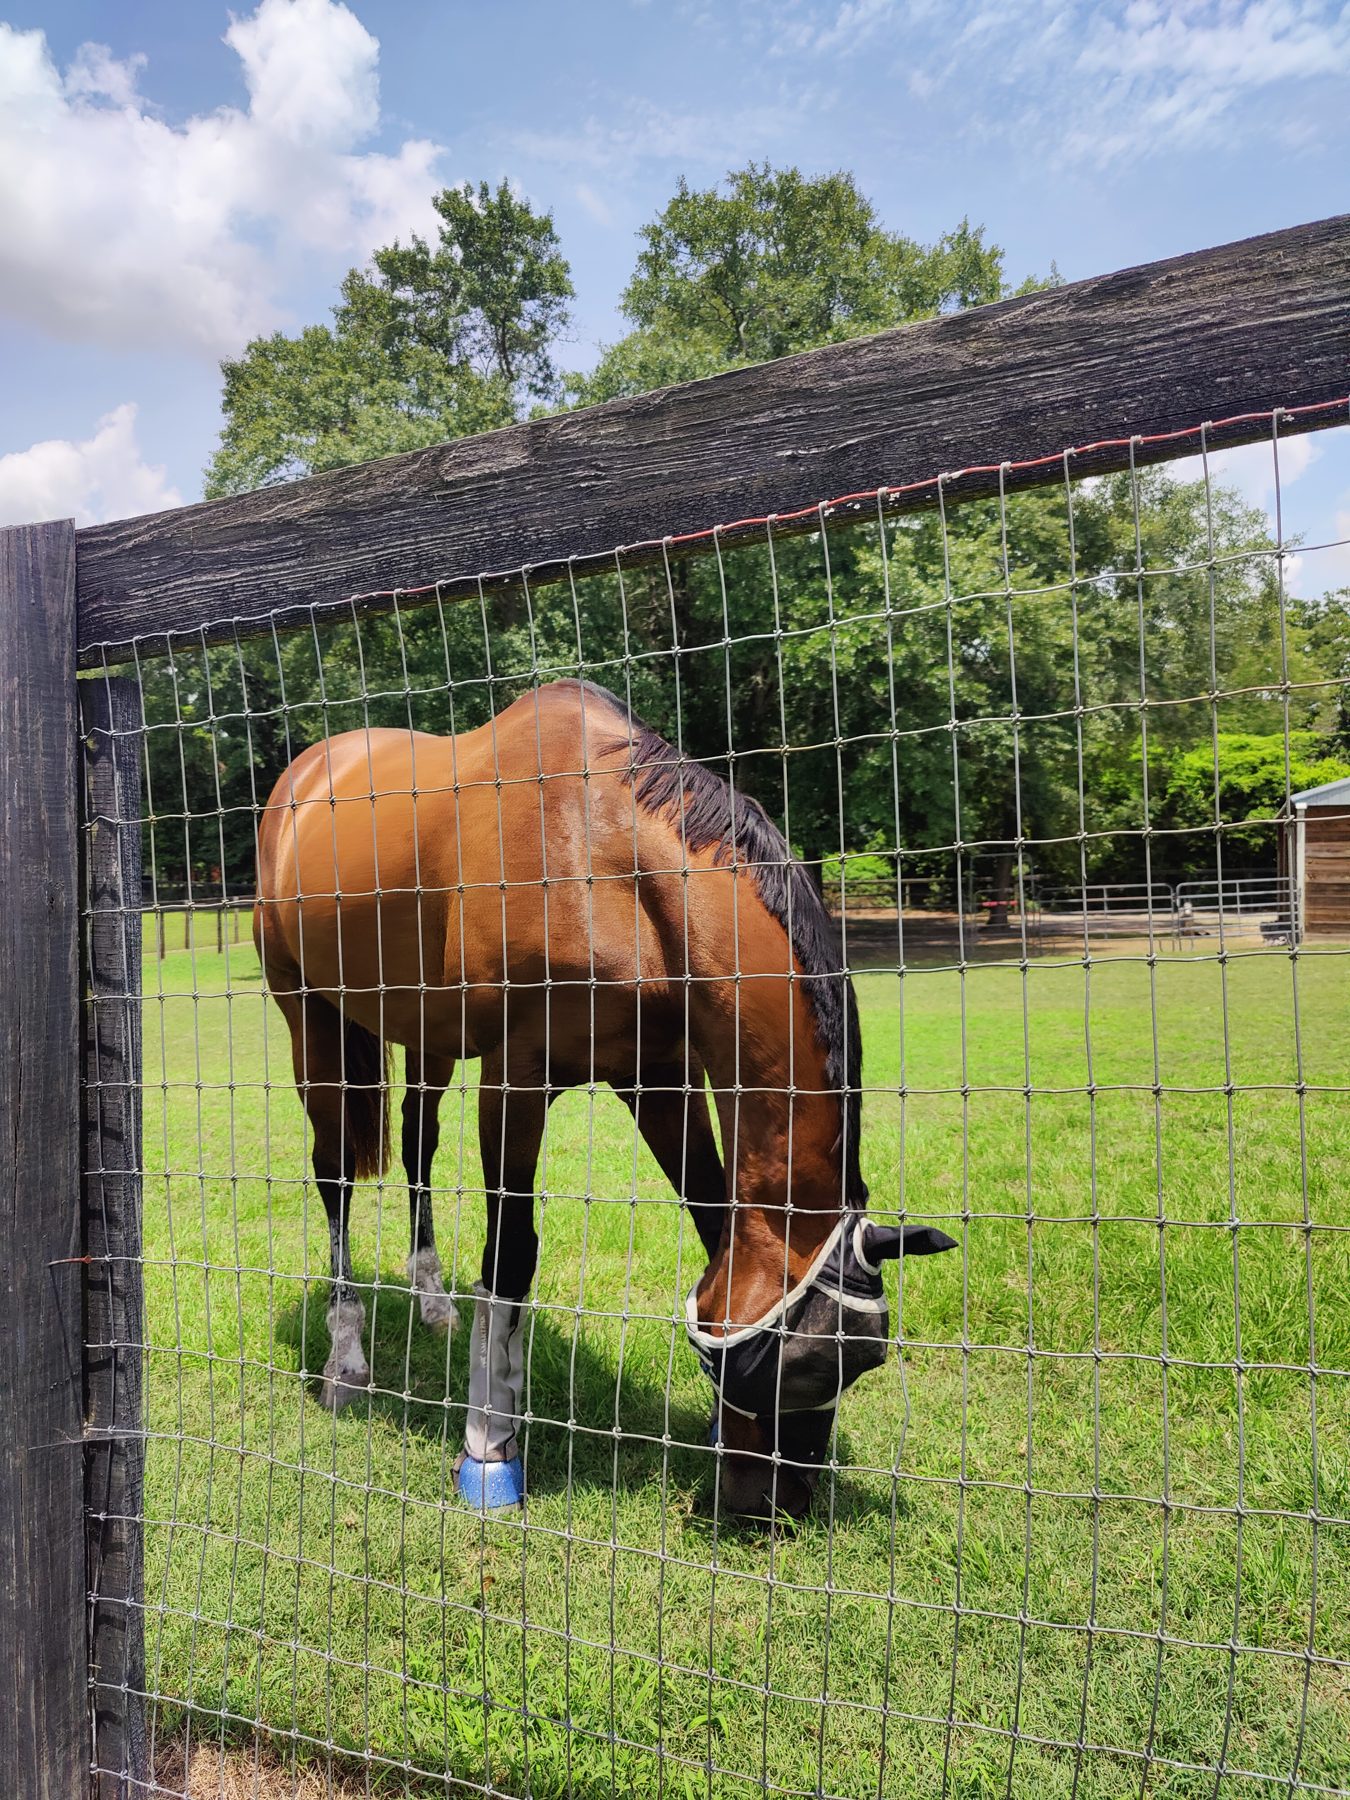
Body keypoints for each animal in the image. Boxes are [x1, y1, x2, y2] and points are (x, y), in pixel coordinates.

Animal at [254, 677, 954, 1517]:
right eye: (802, 1366)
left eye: (861, 1367)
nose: (772, 1509)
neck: (606, 857)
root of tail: (308, 773)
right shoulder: (516, 1076)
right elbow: (510, 1256)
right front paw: (489, 1446)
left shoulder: (660, 1078)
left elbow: (712, 1218)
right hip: (308, 1015)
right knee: (333, 1172)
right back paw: (347, 1360)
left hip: (424, 1032)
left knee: (418, 1142)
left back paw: (432, 1303)